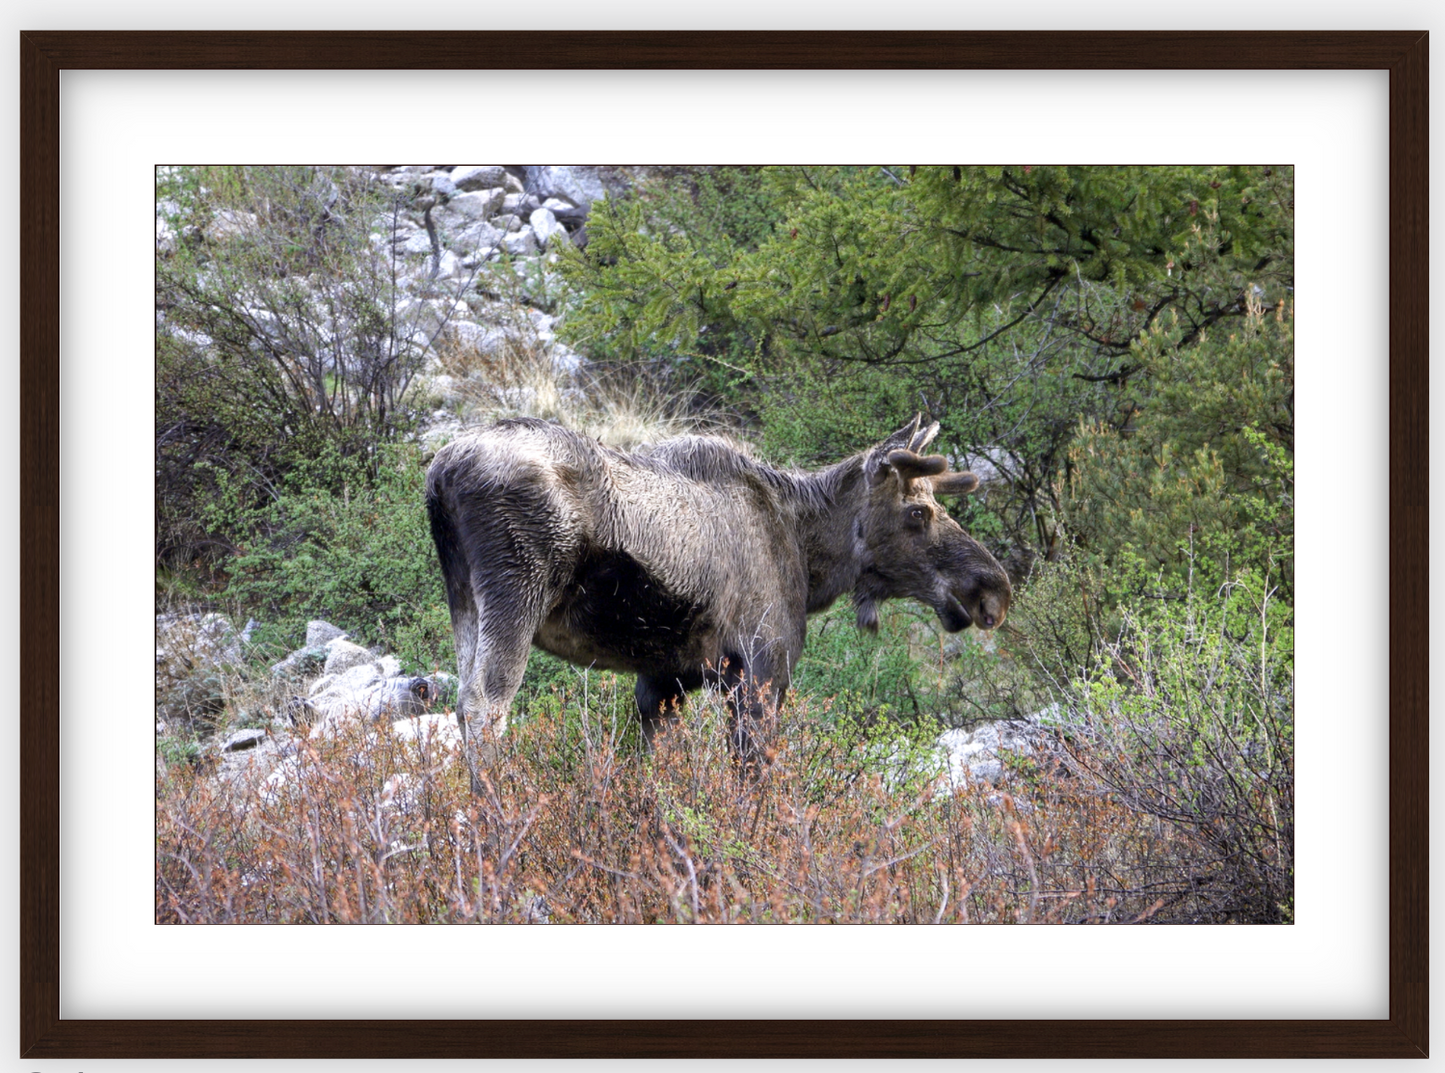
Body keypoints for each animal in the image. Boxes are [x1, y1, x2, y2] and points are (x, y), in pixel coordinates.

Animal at [421, 410, 1011, 779]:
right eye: (918, 512)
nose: (992, 589)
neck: (808, 557)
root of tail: (440, 474)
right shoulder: (762, 667)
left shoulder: (663, 680)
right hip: (516, 590)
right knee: (484, 706)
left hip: (464, 599)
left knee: (462, 703)